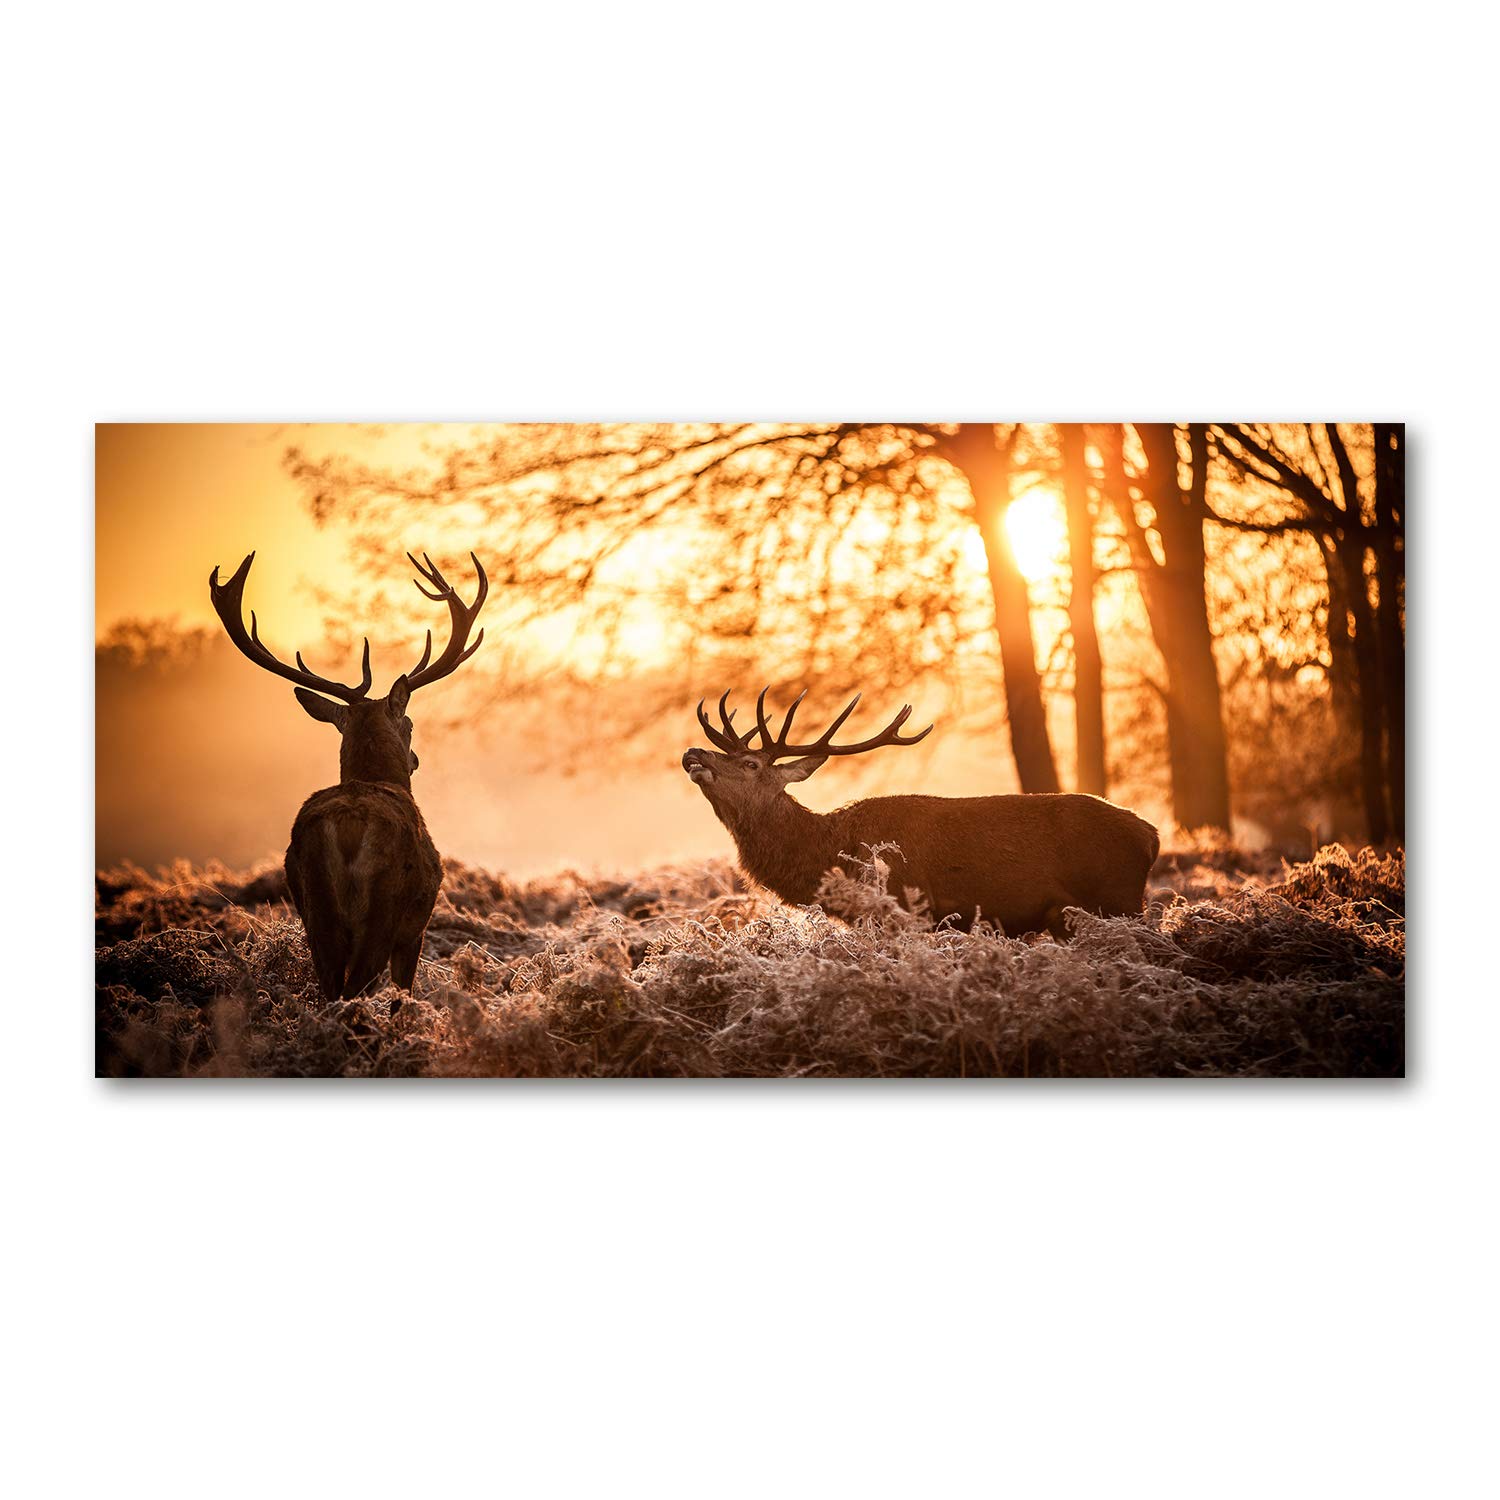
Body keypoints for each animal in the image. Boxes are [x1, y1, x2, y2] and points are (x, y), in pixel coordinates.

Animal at [208, 550, 488, 1006]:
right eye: (410, 723)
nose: (415, 758)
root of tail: (348, 827)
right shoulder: (415, 928)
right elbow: (402, 994)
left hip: (314, 907)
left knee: (330, 988)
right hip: (384, 909)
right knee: (356, 987)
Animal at [682, 690, 1160, 937]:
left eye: (751, 764)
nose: (693, 753)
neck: (832, 853)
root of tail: (1150, 835)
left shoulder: (909, 910)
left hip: (1118, 900)